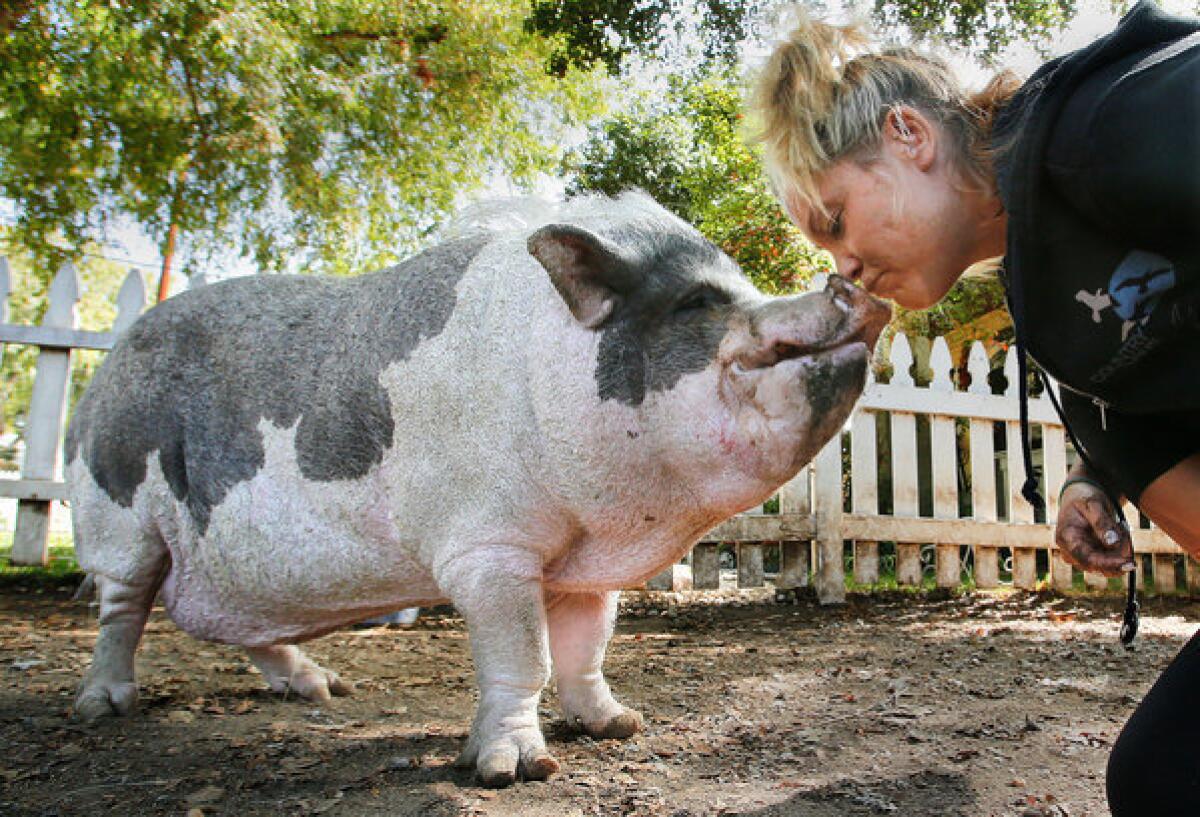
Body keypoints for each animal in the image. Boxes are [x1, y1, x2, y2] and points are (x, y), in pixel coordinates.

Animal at [68, 189, 892, 782]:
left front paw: (622, 726)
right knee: (123, 609)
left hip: (236, 570)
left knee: (241, 628)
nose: (850, 285)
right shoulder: (487, 547)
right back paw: (104, 707)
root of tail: (103, 370)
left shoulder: (584, 569)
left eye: (743, 288)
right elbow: (524, 654)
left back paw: (324, 688)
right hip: (117, 519)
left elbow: (586, 649)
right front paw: (517, 771)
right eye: (695, 303)